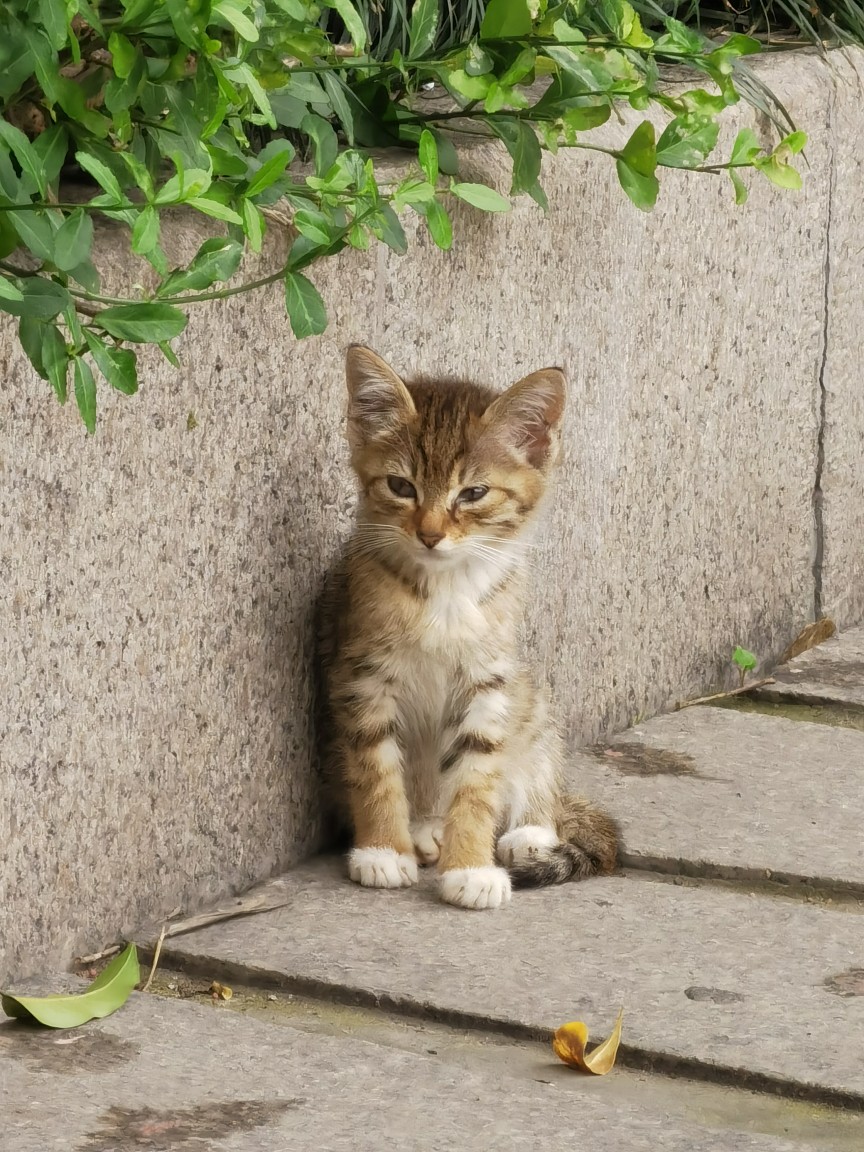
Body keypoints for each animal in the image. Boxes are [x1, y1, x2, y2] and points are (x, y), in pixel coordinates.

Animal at [320, 340, 622, 907]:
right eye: (400, 485)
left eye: (474, 493)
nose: (430, 534)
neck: (446, 591)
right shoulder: (363, 676)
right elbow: (375, 766)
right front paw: (383, 851)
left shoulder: (490, 679)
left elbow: (478, 778)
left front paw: (472, 867)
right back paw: (422, 829)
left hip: (534, 696)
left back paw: (531, 830)